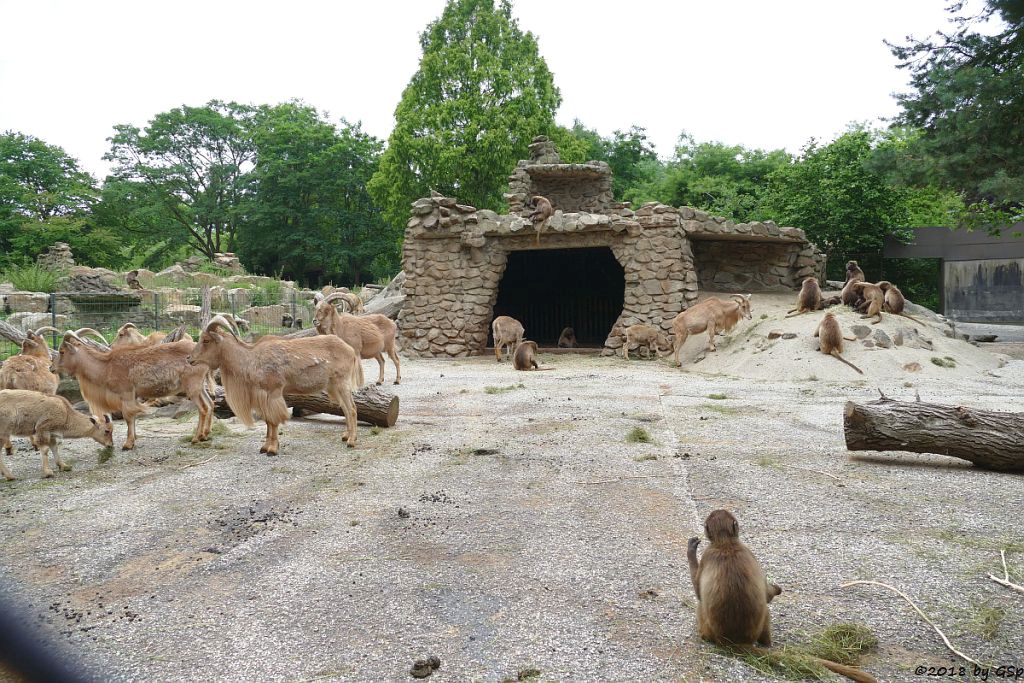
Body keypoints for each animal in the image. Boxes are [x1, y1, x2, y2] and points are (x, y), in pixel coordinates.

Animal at [188, 315, 364, 454]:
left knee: (352, 408)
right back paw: (346, 436)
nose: (190, 359)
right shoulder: (262, 396)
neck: (251, 359)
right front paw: (265, 447)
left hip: (342, 382)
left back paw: (352, 441)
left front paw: (272, 449)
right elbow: (267, 421)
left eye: (206, 340)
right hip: (333, 386)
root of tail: (350, 350)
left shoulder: (273, 392)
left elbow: (273, 420)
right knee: (346, 409)